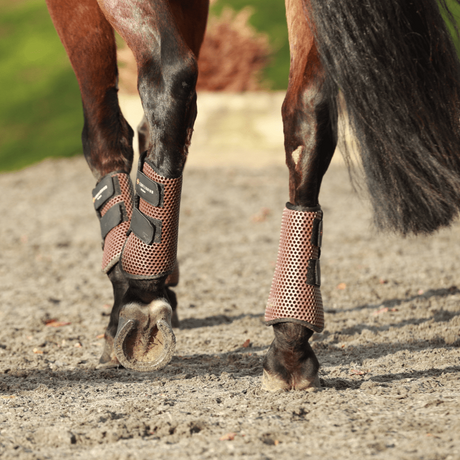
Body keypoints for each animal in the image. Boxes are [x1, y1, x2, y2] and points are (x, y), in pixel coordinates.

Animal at [46, 0, 460, 390]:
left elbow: (105, 134)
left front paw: (126, 291)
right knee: (308, 114)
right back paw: (290, 341)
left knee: (169, 76)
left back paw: (142, 300)